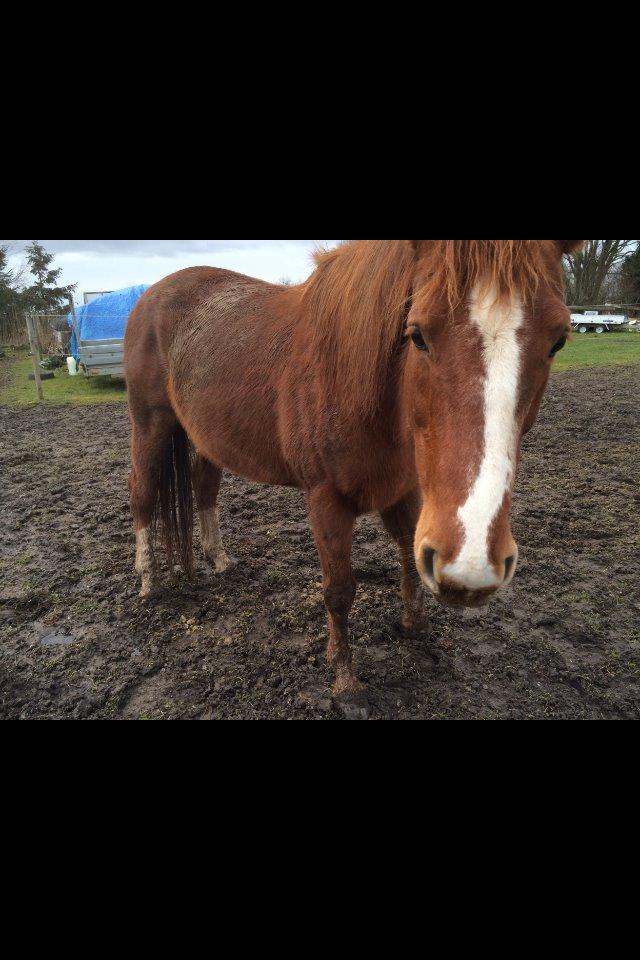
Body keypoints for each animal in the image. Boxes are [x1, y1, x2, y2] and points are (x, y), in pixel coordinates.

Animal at [125, 240, 584, 704]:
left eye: (558, 340)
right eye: (418, 334)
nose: (470, 565)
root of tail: (150, 295)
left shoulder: (404, 492)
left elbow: (408, 557)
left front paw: (413, 627)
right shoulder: (326, 501)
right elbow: (339, 590)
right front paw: (345, 682)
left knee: (205, 489)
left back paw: (218, 559)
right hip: (150, 424)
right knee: (142, 493)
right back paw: (148, 581)